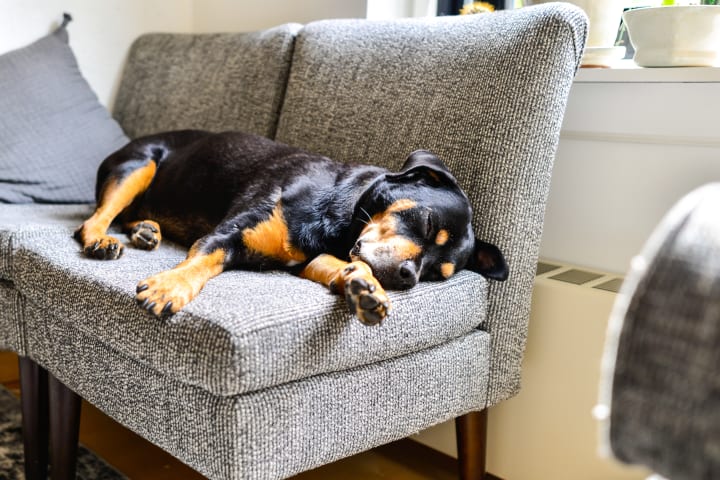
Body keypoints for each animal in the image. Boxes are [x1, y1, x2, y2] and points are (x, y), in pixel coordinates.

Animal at [76, 130, 510, 326]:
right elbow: (201, 263)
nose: (408, 277)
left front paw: (365, 288)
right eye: (426, 221)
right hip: (138, 165)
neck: (341, 212)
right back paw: (101, 240)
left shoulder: (311, 259)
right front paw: (169, 287)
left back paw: (146, 230)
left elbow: (341, 265)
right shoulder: (229, 232)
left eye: (438, 274)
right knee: (95, 217)